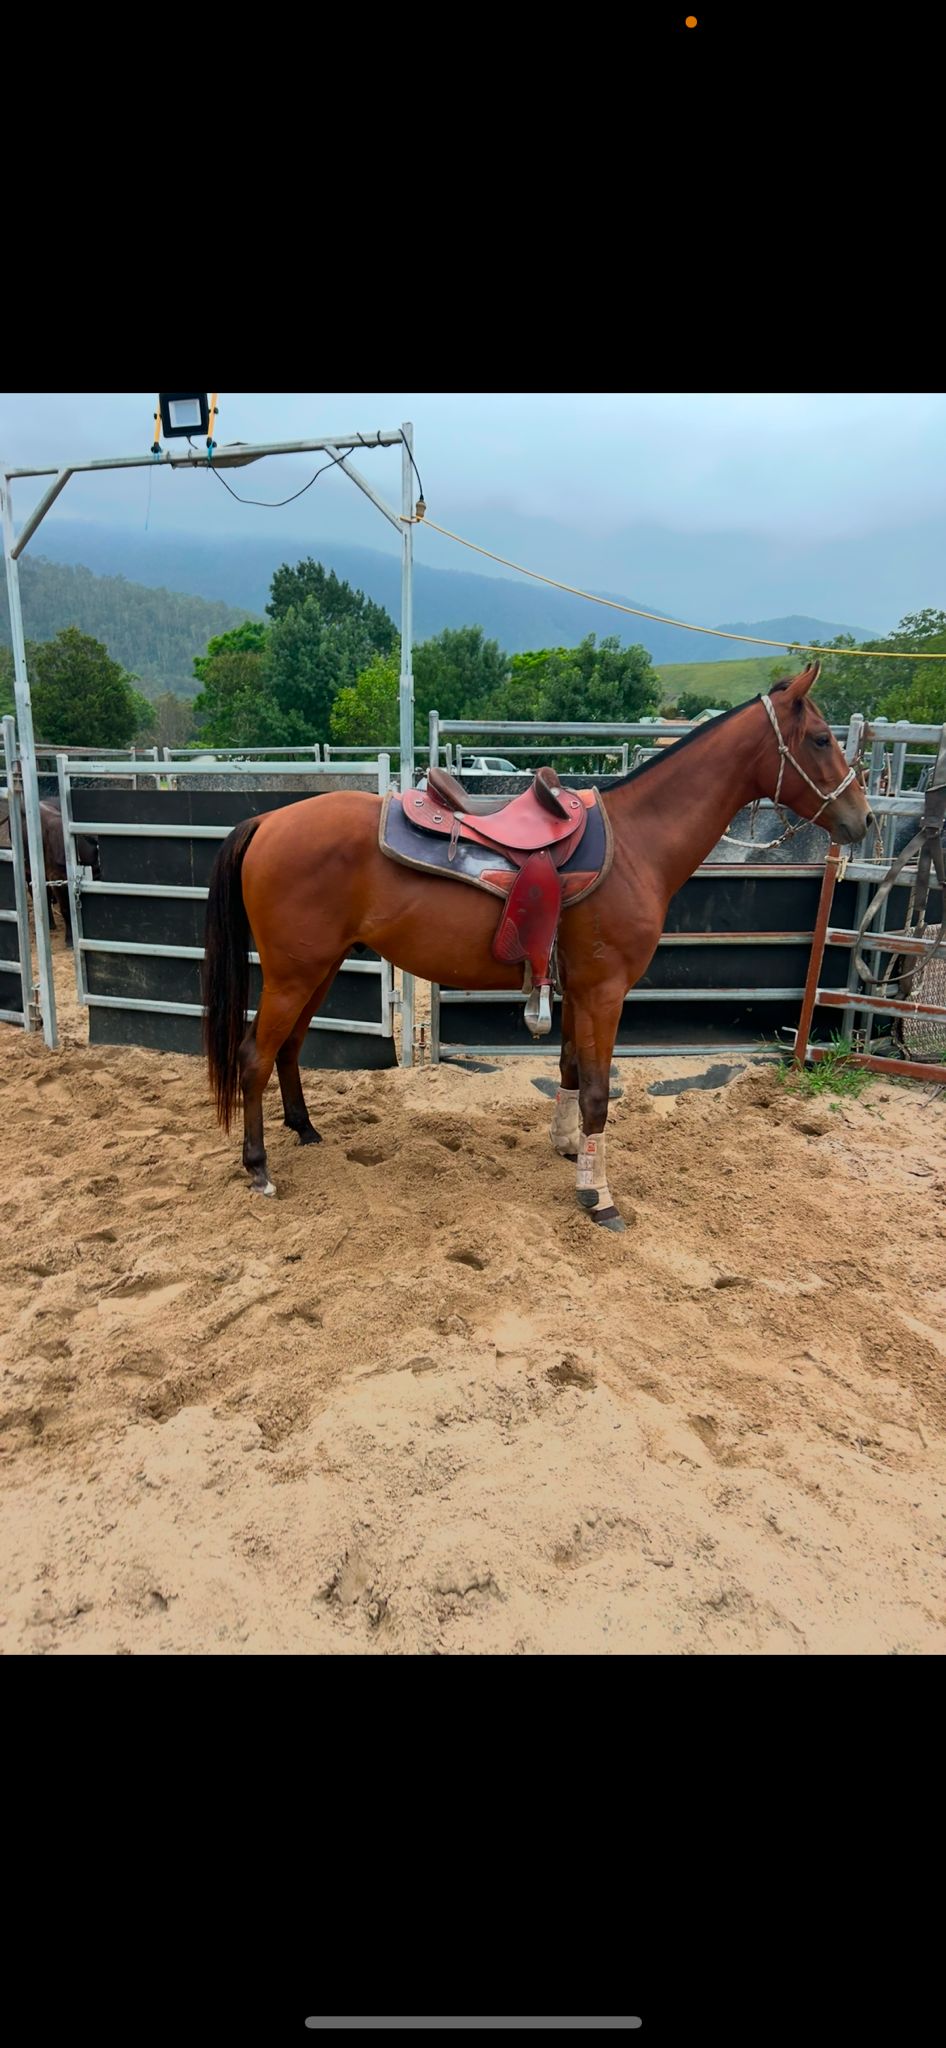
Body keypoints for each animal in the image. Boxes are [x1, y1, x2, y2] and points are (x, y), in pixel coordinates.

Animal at [201, 662, 873, 1229]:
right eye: (820, 738)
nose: (863, 820)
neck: (636, 843)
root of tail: (268, 821)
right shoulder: (605, 992)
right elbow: (599, 1093)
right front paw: (599, 1197)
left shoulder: (577, 988)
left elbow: (571, 1068)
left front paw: (570, 1148)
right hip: (294, 972)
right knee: (254, 1057)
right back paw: (259, 1167)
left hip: (320, 968)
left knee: (288, 1049)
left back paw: (305, 1129)